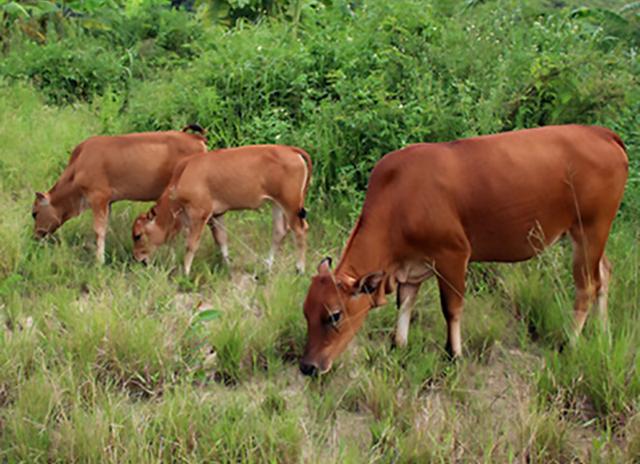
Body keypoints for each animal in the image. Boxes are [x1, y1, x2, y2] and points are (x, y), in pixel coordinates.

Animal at [32, 125, 208, 262]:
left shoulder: (98, 197)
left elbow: (99, 230)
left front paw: (99, 261)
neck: (77, 167)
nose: (35, 236)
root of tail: (195, 137)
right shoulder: (108, 202)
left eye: (34, 213)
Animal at [131, 145, 312, 276]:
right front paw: (228, 267)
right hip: (277, 204)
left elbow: (191, 245)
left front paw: (185, 273)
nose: (137, 258)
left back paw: (300, 269)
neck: (183, 174)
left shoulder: (199, 215)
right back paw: (267, 267)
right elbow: (221, 240)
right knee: (279, 231)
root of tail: (290, 150)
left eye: (138, 235)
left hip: (290, 205)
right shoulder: (217, 215)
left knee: (300, 231)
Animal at [302, 125, 632, 376]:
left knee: (586, 286)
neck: (400, 197)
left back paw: (570, 344)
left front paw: (454, 355)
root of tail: (601, 133)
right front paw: (399, 345)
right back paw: (603, 334)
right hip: (589, 235)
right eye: (305, 311)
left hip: (590, 229)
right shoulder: (411, 266)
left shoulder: (453, 255)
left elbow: (451, 308)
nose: (308, 367)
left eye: (334, 315)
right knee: (604, 275)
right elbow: (405, 303)